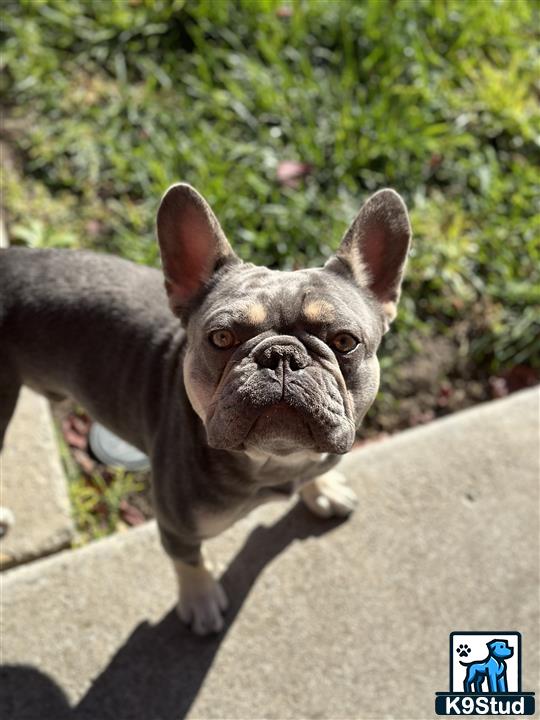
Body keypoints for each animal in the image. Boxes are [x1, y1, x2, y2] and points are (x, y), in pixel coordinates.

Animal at [0, 183, 412, 632]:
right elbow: (188, 561)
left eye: (344, 341)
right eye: (221, 338)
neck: (277, 459)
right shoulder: (176, 526)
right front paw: (199, 600)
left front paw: (321, 488)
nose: (282, 355)